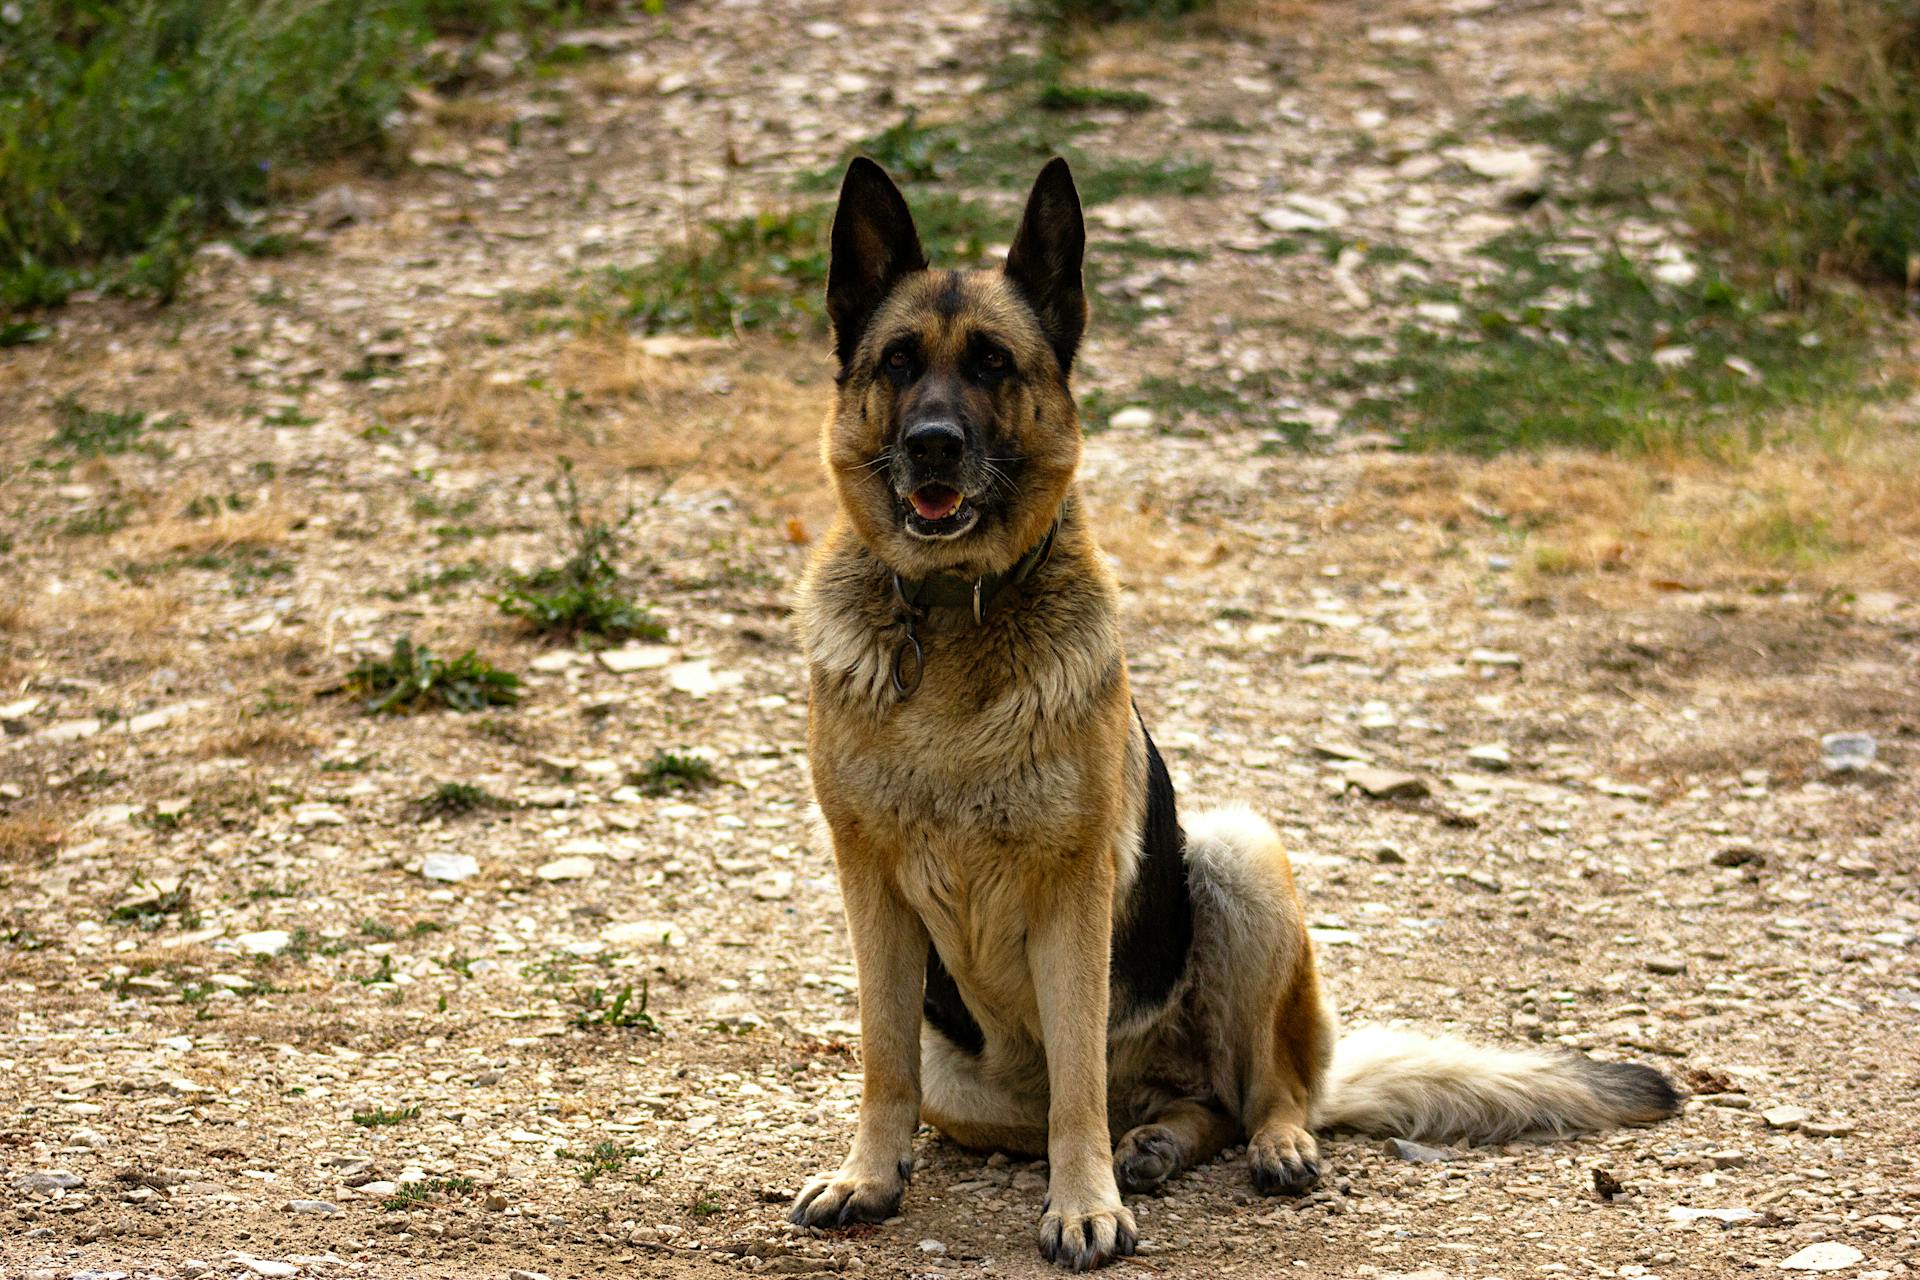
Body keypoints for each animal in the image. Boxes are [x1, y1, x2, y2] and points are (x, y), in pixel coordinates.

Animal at [787, 160, 1674, 1274]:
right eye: (899, 362)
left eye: (992, 363)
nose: (933, 446)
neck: (951, 617)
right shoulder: (867, 884)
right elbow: (882, 1056)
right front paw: (868, 1175)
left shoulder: (1072, 892)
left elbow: (1078, 1077)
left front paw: (1084, 1203)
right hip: (977, 1086)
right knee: (1157, 1100)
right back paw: (1156, 1140)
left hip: (1236, 847)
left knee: (1253, 1089)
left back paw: (1260, 1143)